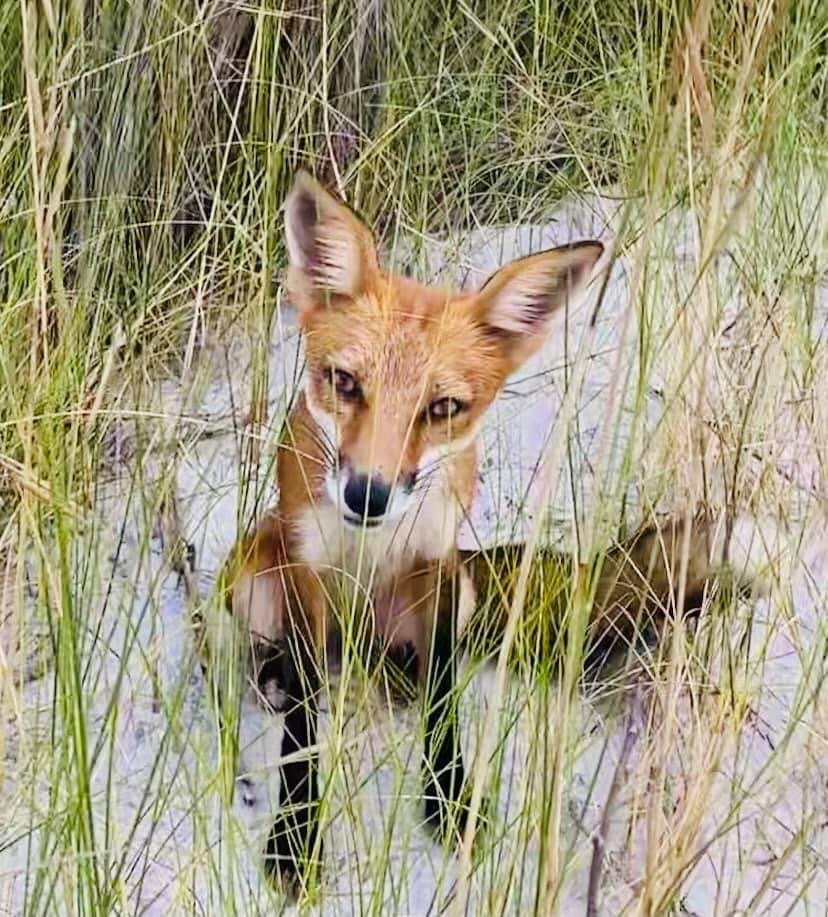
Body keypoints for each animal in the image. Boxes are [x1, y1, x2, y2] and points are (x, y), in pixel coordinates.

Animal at [211, 171, 783, 895]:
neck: (372, 540)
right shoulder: (307, 571)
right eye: (344, 383)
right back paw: (274, 679)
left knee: (417, 665)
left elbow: (443, 696)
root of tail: (359, 638)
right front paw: (295, 835)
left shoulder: (433, 565)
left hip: (460, 585)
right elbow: (303, 728)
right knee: (285, 663)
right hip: (254, 576)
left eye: (442, 408)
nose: (367, 494)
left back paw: (395, 677)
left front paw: (449, 796)